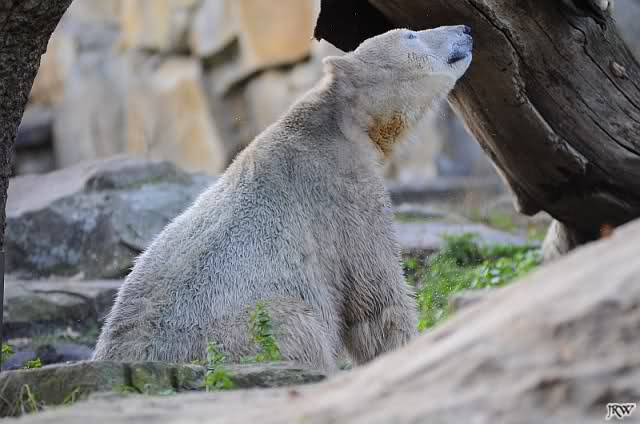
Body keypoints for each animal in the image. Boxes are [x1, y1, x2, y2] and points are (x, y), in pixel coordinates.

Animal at [93, 25, 474, 372]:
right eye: (410, 35)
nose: (465, 29)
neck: (336, 125)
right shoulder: (341, 193)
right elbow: (376, 297)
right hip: (246, 328)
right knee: (297, 326)